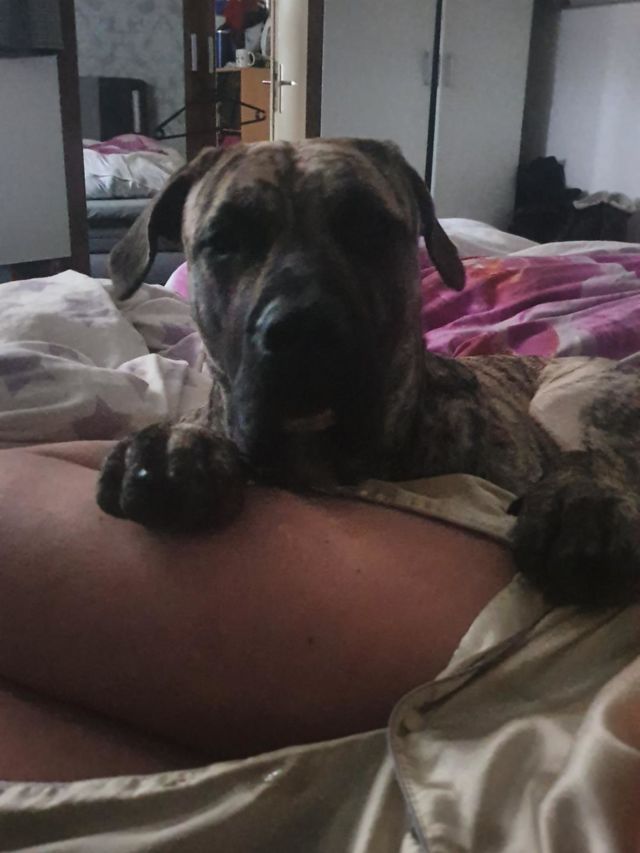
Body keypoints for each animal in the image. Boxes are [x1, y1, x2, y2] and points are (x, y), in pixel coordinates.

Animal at [98, 138, 640, 608]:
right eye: (225, 241)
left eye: (371, 229)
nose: (304, 329)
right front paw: (180, 442)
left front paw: (585, 501)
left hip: (568, 399)